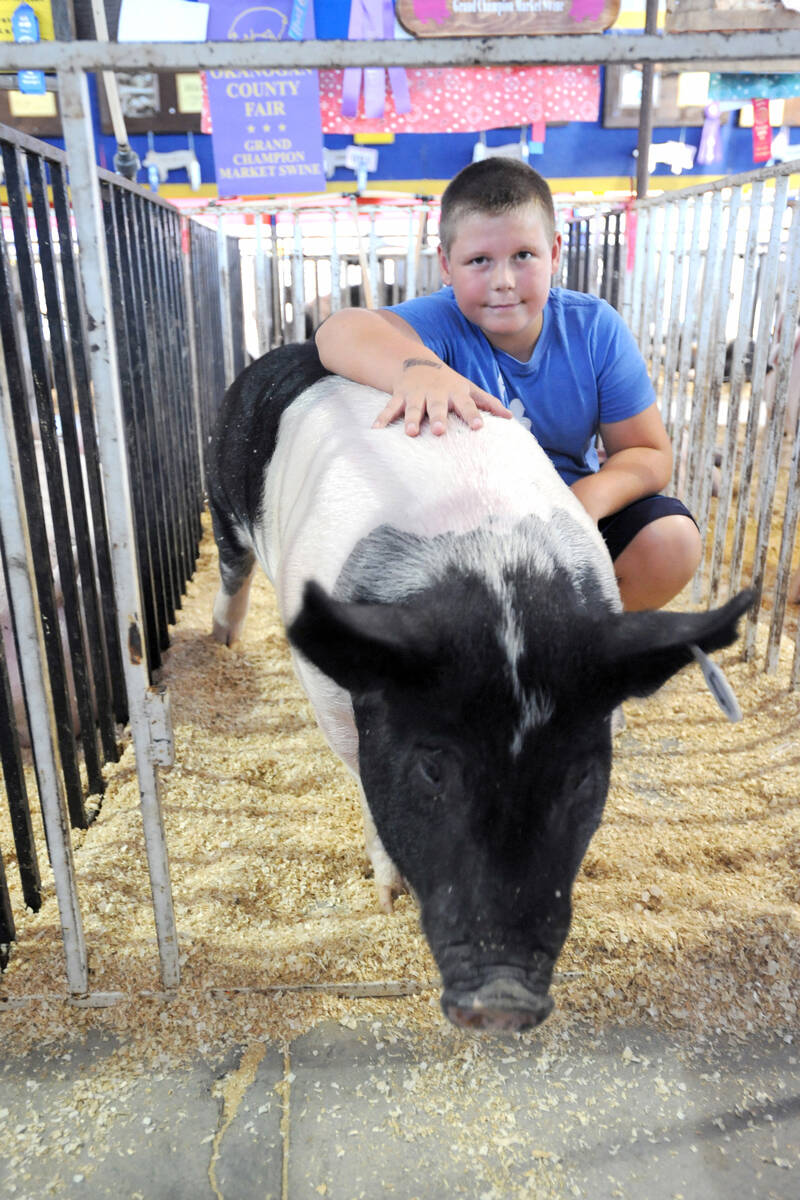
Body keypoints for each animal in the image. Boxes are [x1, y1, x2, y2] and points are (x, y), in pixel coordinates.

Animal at [205, 343, 753, 1036]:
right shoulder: (328, 686)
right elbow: (358, 770)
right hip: (222, 495)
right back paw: (221, 644)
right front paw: (387, 899)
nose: (504, 997)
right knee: (232, 569)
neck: (491, 562)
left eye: (581, 775)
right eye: (432, 767)